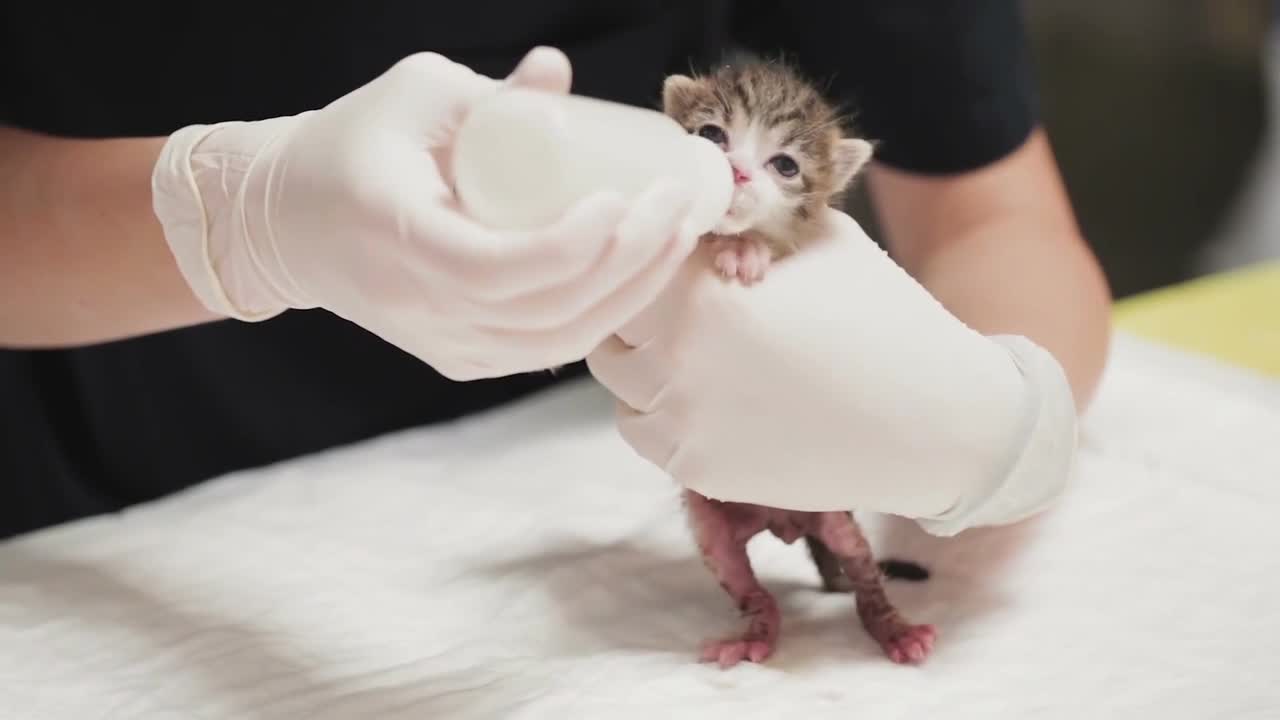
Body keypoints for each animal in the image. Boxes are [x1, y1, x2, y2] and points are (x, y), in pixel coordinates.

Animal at [665, 60, 936, 666]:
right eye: (711, 135)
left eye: (784, 164)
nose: (737, 172)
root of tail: (783, 520)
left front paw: (746, 249)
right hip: (713, 526)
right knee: (751, 587)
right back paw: (755, 634)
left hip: (836, 517)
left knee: (864, 579)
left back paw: (894, 629)